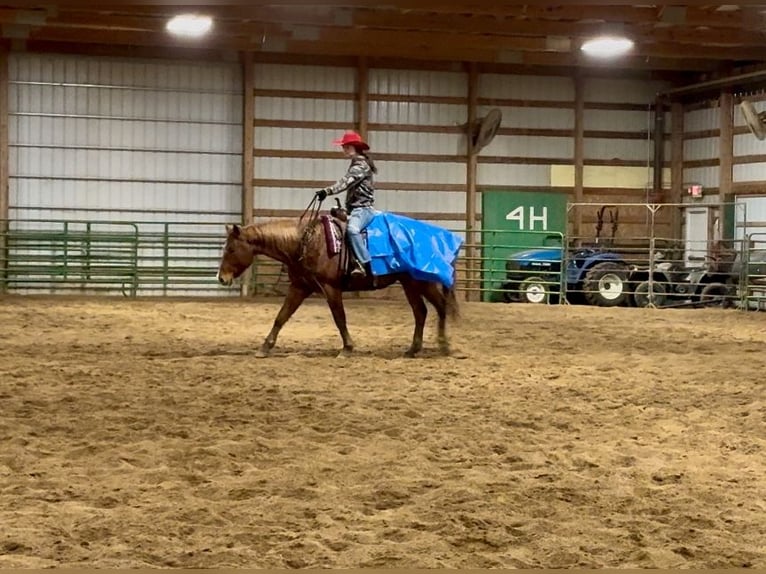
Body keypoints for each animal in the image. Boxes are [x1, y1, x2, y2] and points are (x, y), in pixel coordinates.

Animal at [213, 214, 460, 362]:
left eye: (231, 249)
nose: (221, 278)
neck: (305, 242)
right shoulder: (299, 287)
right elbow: (281, 317)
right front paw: (265, 347)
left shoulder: (330, 288)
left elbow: (339, 317)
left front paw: (347, 348)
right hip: (410, 284)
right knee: (421, 311)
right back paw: (413, 349)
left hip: (423, 282)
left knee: (441, 307)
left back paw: (445, 345)